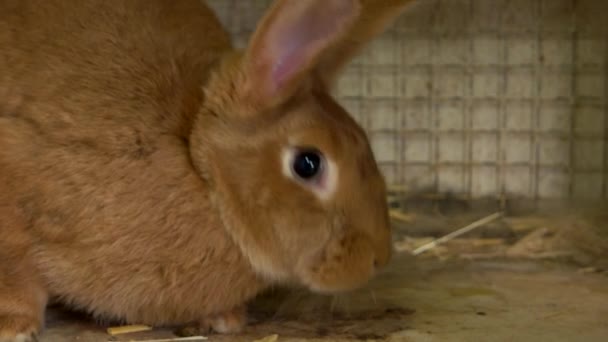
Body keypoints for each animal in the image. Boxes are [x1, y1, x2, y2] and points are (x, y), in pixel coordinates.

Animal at [0, 0, 414, 338]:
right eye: (308, 163)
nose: (379, 259)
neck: (201, 169)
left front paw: (224, 319)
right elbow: (18, 271)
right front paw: (15, 326)